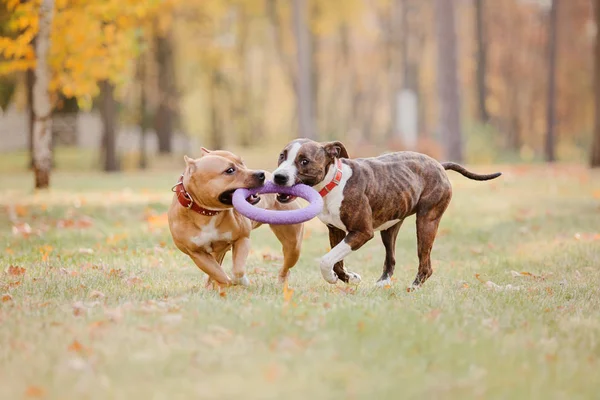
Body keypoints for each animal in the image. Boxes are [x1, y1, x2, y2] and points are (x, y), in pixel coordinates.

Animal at [166, 148, 302, 286]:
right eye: (230, 170)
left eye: (242, 163)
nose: (261, 174)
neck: (207, 213)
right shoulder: (197, 254)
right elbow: (218, 273)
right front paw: (225, 284)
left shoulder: (242, 239)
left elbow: (238, 270)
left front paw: (242, 282)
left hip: (293, 245)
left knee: (286, 266)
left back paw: (281, 282)